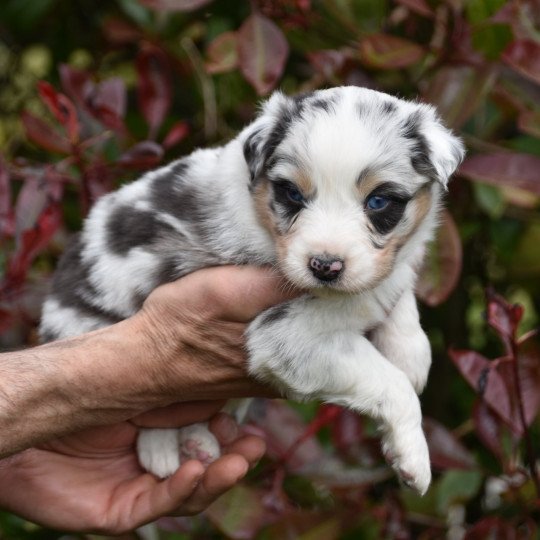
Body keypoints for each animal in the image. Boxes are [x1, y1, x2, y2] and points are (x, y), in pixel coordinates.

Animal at [41, 86, 464, 496]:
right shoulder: (287, 336)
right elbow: (390, 384)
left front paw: (411, 355)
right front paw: (413, 457)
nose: (324, 266)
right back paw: (162, 451)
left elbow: (399, 294)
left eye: (378, 201)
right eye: (292, 194)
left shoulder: (388, 269)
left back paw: (197, 442)